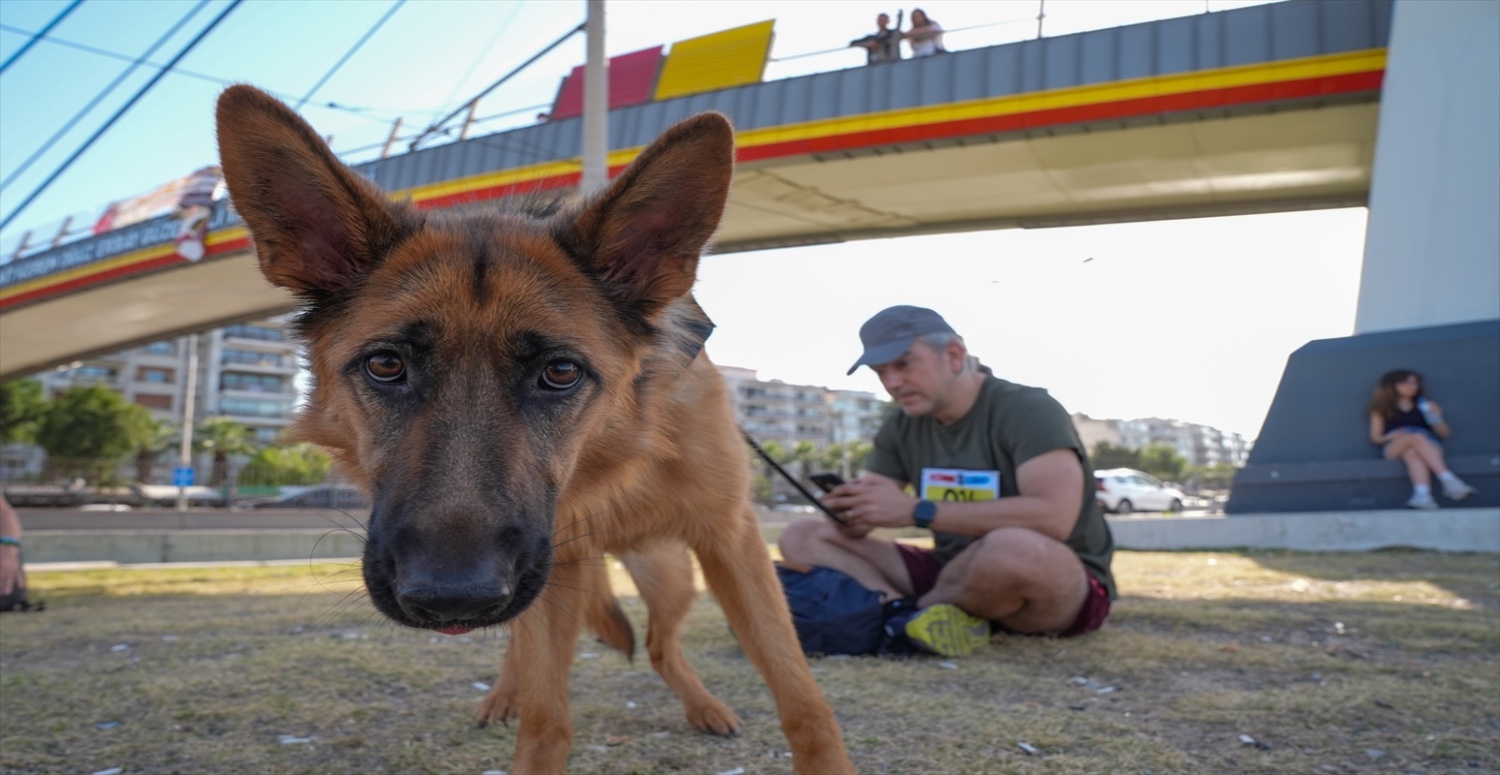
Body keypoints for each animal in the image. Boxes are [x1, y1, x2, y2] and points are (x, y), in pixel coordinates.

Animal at [219, 87, 864, 767]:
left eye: (560, 372)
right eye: (386, 365)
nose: (452, 597)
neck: (613, 459)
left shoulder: (732, 542)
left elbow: (802, 698)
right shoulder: (552, 579)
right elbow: (545, 716)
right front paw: (522, 711)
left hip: (668, 579)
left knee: (661, 646)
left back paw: (704, 707)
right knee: (536, 656)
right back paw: (506, 693)